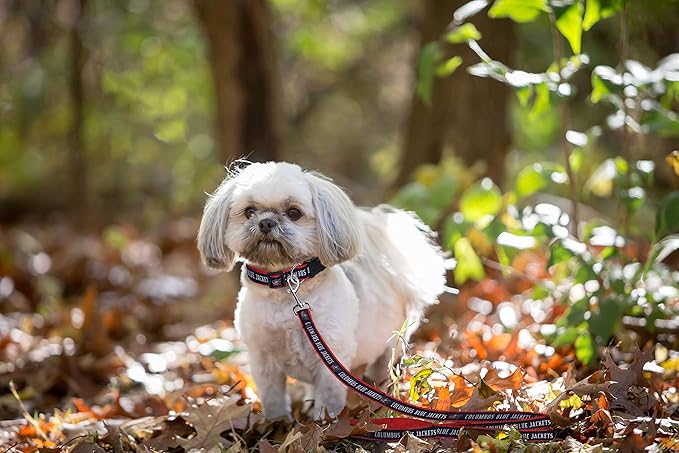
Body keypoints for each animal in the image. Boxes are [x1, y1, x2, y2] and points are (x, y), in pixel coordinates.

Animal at [197, 162, 446, 420]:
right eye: (249, 211)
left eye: (293, 213)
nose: (266, 222)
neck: (285, 286)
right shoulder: (264, 359)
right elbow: (273, 398)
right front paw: (277, 423)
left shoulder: (331, 358)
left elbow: (328, 398)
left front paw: (324, 423)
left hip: (389, 345)